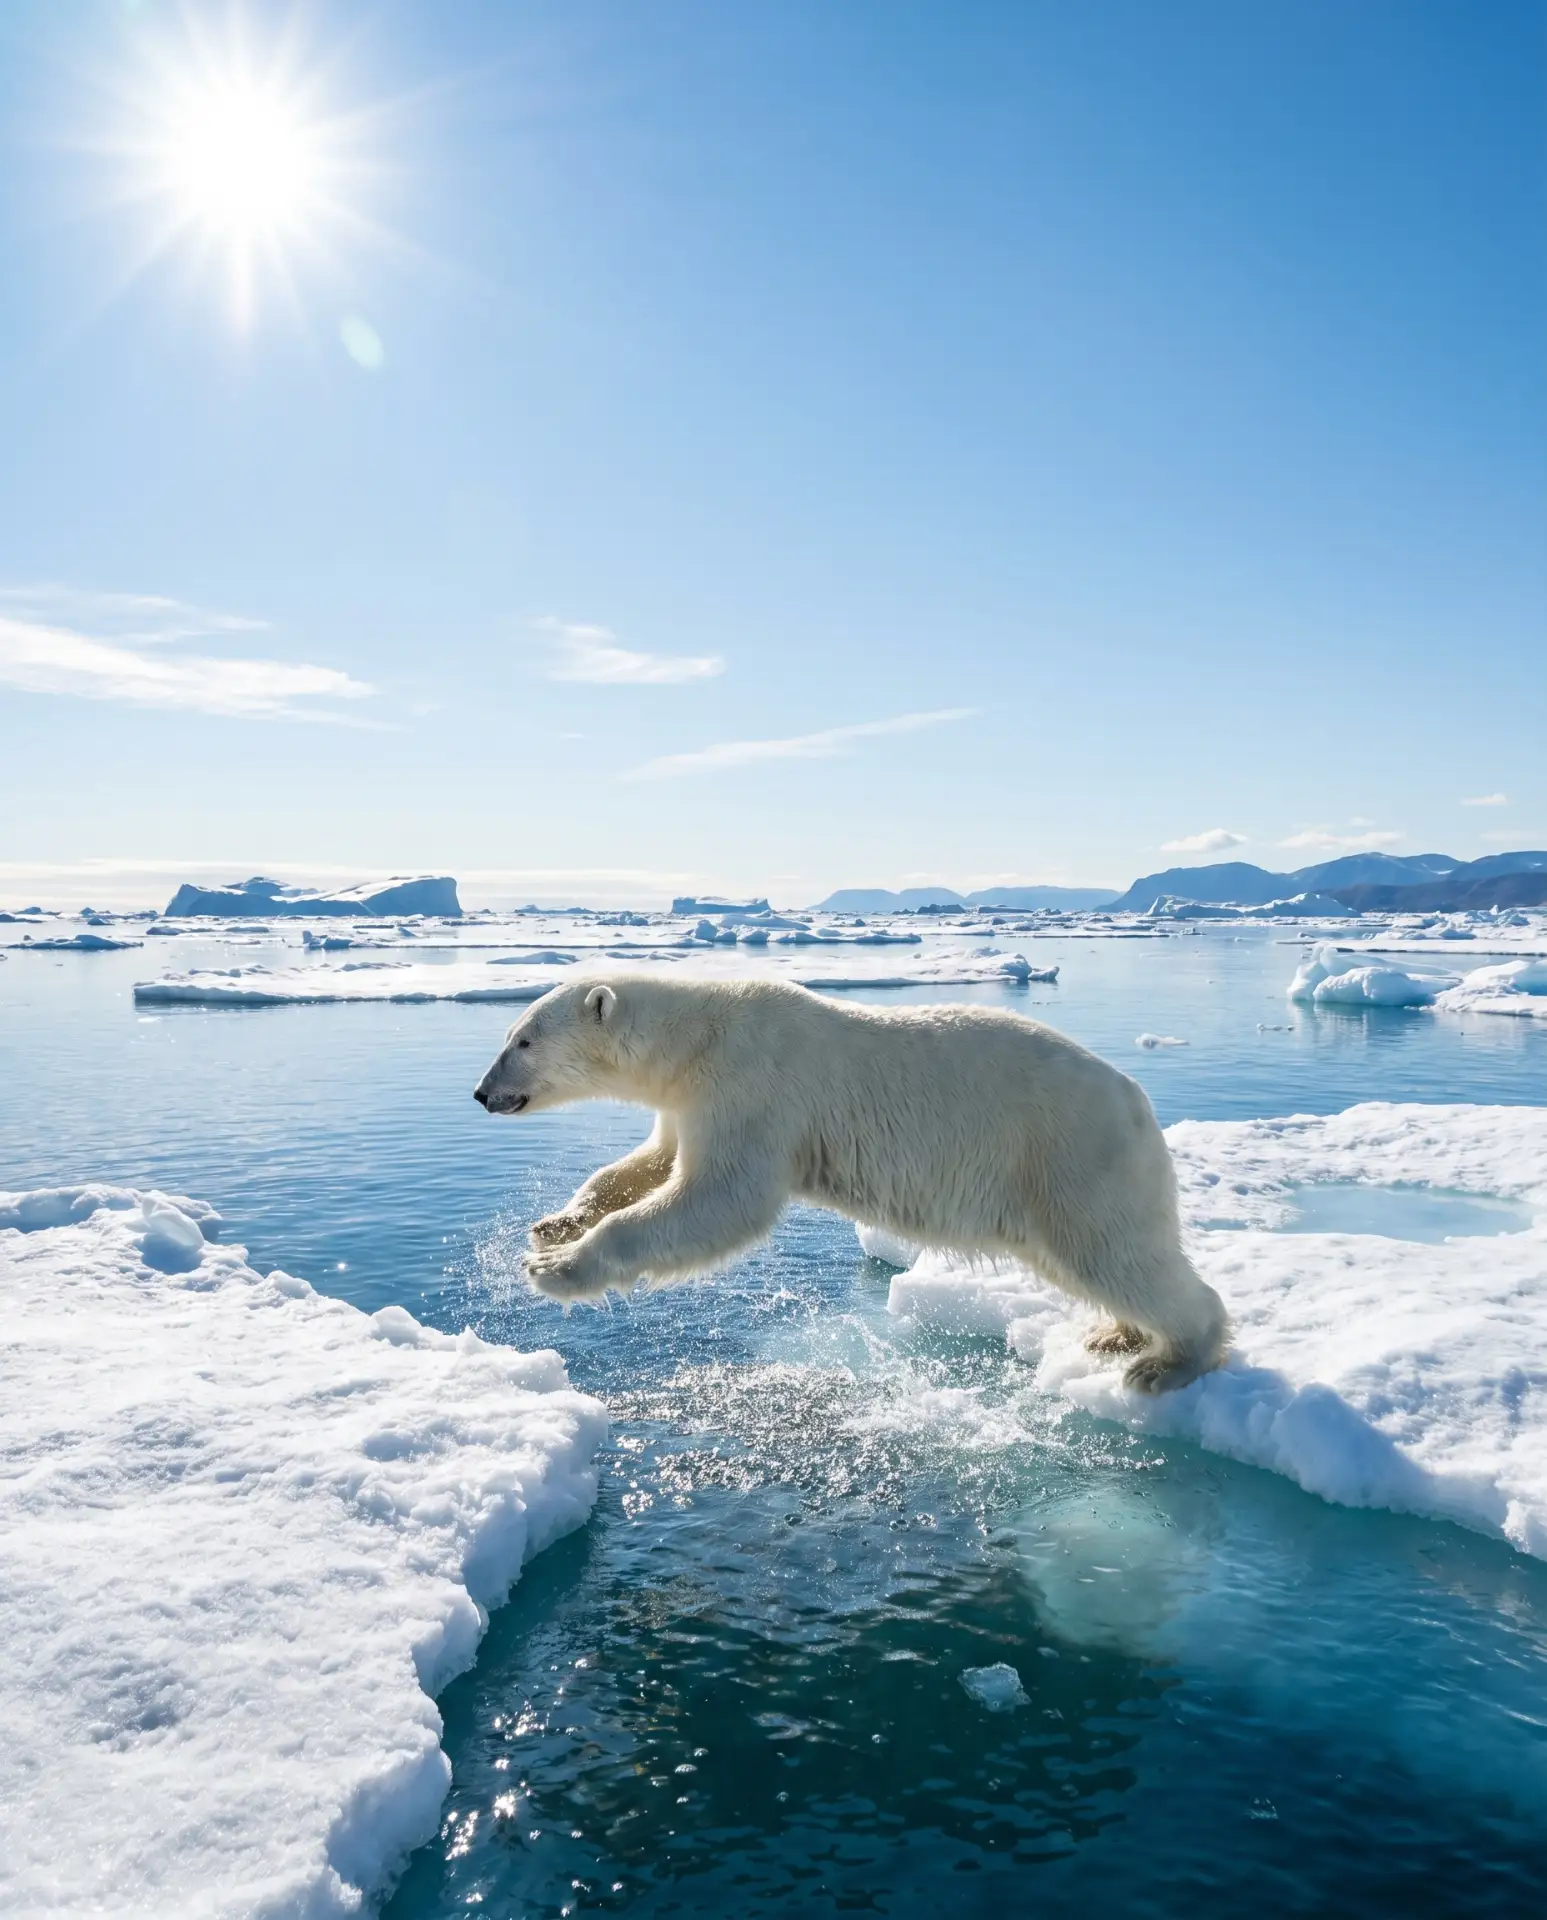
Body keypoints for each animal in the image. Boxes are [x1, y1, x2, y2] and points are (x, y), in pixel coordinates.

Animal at [473, 972, 1229, 1392]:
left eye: (523, 1041)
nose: (482, 1094)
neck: (700, 1033)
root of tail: (1137, 1102)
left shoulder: (753, 1085)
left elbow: (721, 1199)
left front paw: (555, 1269)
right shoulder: (690, 1099)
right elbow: (650, 1162)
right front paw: (554, 1225)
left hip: (1070, 1155)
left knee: (1116, 1253)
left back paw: (1165, 1360)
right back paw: (1116, 1334)